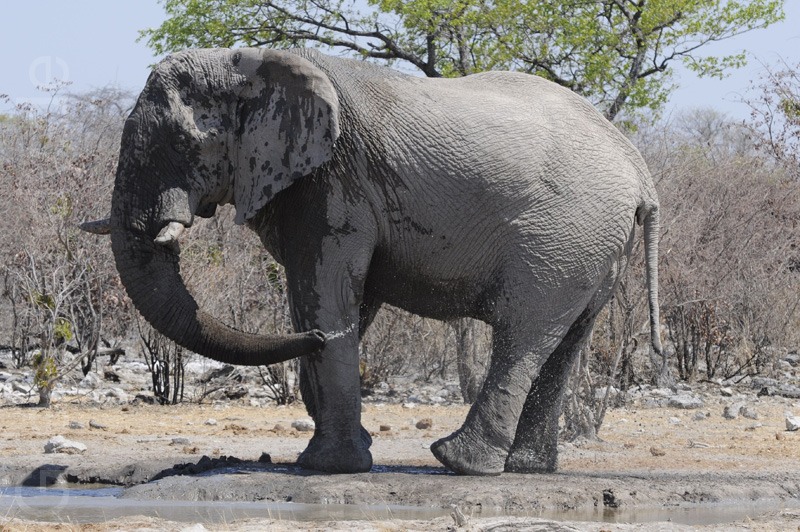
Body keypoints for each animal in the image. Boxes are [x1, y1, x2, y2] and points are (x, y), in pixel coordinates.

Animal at [83, 47, 664, 476]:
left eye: (183, 142)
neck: (249, 64)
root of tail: (639, 167)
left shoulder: (334, 181)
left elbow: (329, 289)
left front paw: (328, 466)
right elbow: (332, 300)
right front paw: (341, 440)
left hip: (563, 239)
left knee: (523, 334)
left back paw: (458, 462)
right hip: (593, 247)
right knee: (566, 341)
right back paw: (528, 468)